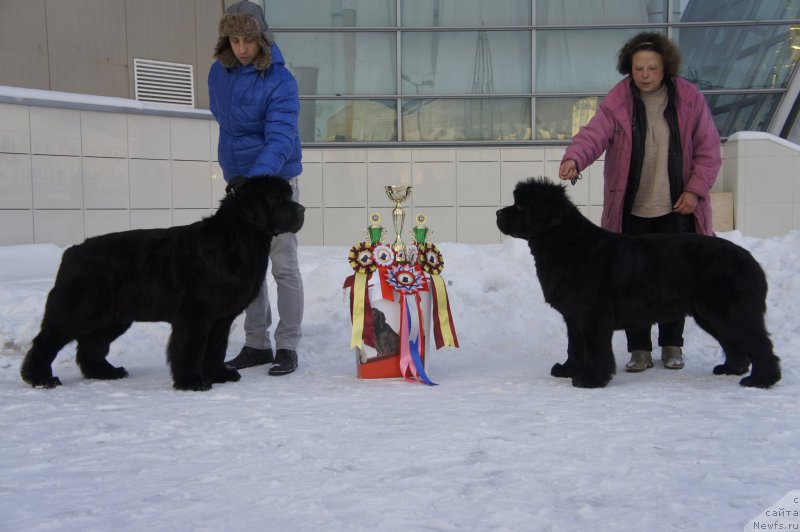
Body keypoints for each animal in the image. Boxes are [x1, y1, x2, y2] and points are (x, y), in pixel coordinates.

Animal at [21, 178, 304, 390]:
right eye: (279, 200)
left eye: (289, 197)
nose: (302, 210)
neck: (238, 240)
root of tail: (71, 252)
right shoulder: (195, 314)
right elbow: (190, 348)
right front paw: (192, 381)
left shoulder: (220, 318)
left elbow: (215, 348)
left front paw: (218, 374)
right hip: (77, 309)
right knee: (46, 340)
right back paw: (40, 378)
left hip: (114, 317)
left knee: (91, 345)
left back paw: (106, 372)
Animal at [494, 177, 780, 388]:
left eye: (520, 206)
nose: (497, 212)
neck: (565, 244)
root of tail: (752, 262)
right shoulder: (573, 317)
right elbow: (574, 345)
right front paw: (568, 370)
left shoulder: (592, 315)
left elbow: (594, 348)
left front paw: (591, 379)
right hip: (711, 315)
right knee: (734, 343)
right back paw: (731, 368)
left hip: (729, 311)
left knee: (758, 343)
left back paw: (761, 380)